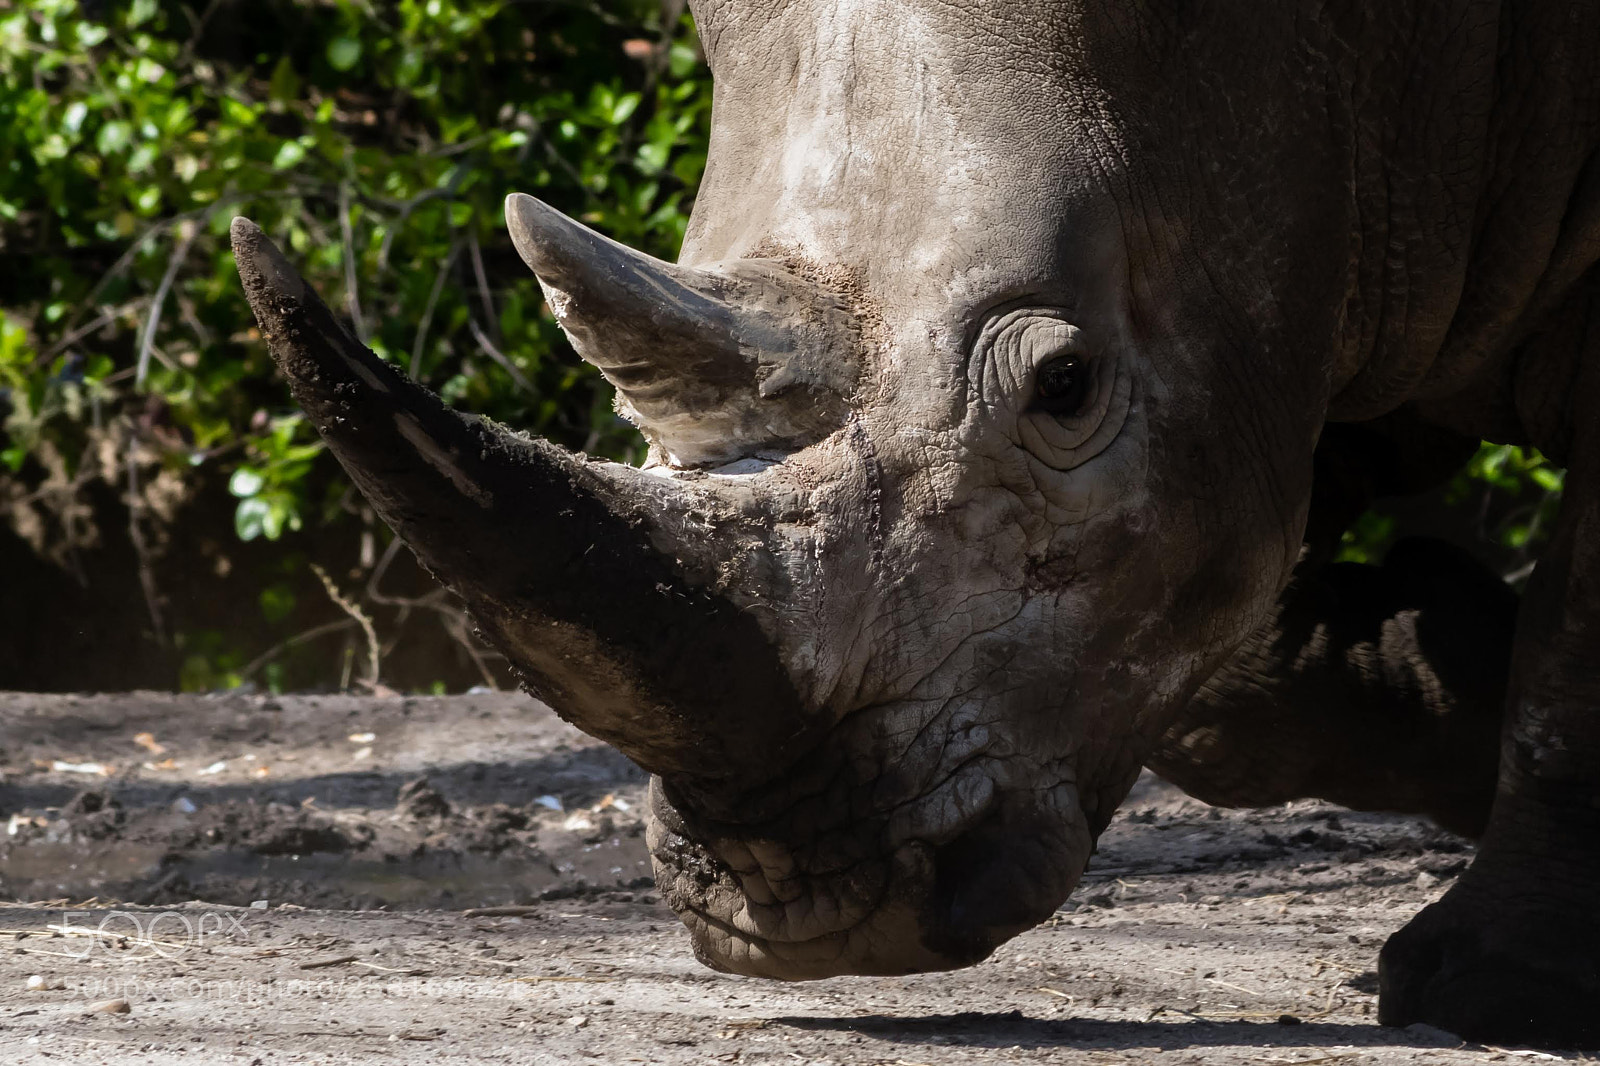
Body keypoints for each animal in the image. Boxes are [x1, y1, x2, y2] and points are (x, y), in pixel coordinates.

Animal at [230, 0, 1600, 1048]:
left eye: (1065, 388)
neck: (1358, 57)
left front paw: (1495, 995)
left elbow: (1575, 630)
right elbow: (1220, 652)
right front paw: (1422, 649)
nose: (802, 909)